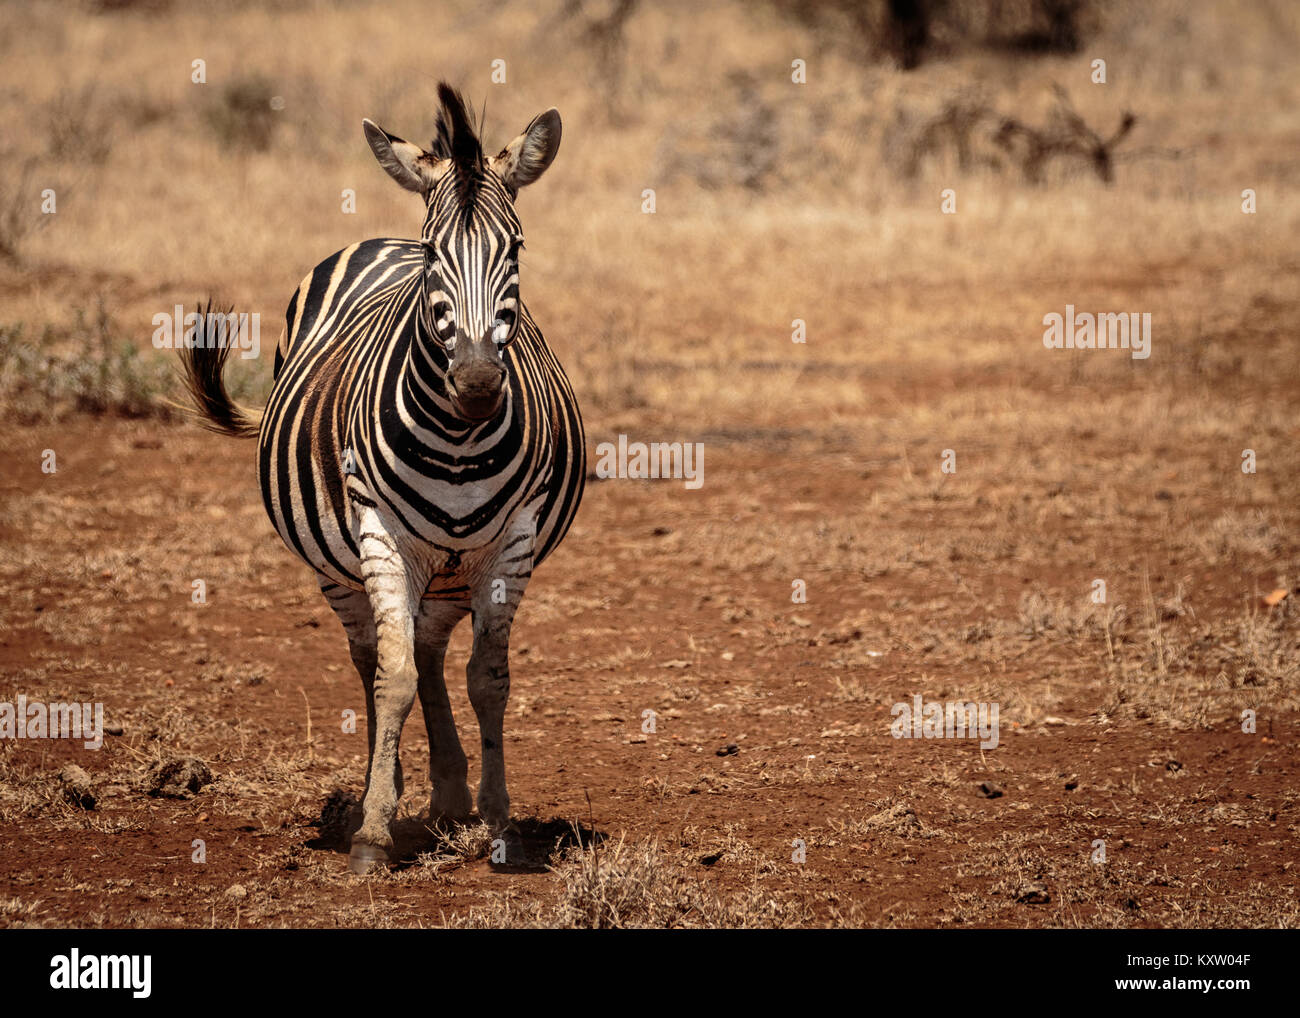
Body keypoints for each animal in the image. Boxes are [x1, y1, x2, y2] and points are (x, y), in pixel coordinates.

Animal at [180, 85, 587, 873]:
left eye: (516, 247)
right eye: (435, 253)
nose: (478, 383)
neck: (460, 438)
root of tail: (377, 239)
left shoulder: (513, 543)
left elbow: (488, 681)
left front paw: (499, 824)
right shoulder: (381, 534)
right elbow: (391, 679)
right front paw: (373, 830)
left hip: (452, 568)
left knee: (428, 651)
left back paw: (449, 797)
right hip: (340, 564)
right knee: (374, 657)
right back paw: (387, 789)